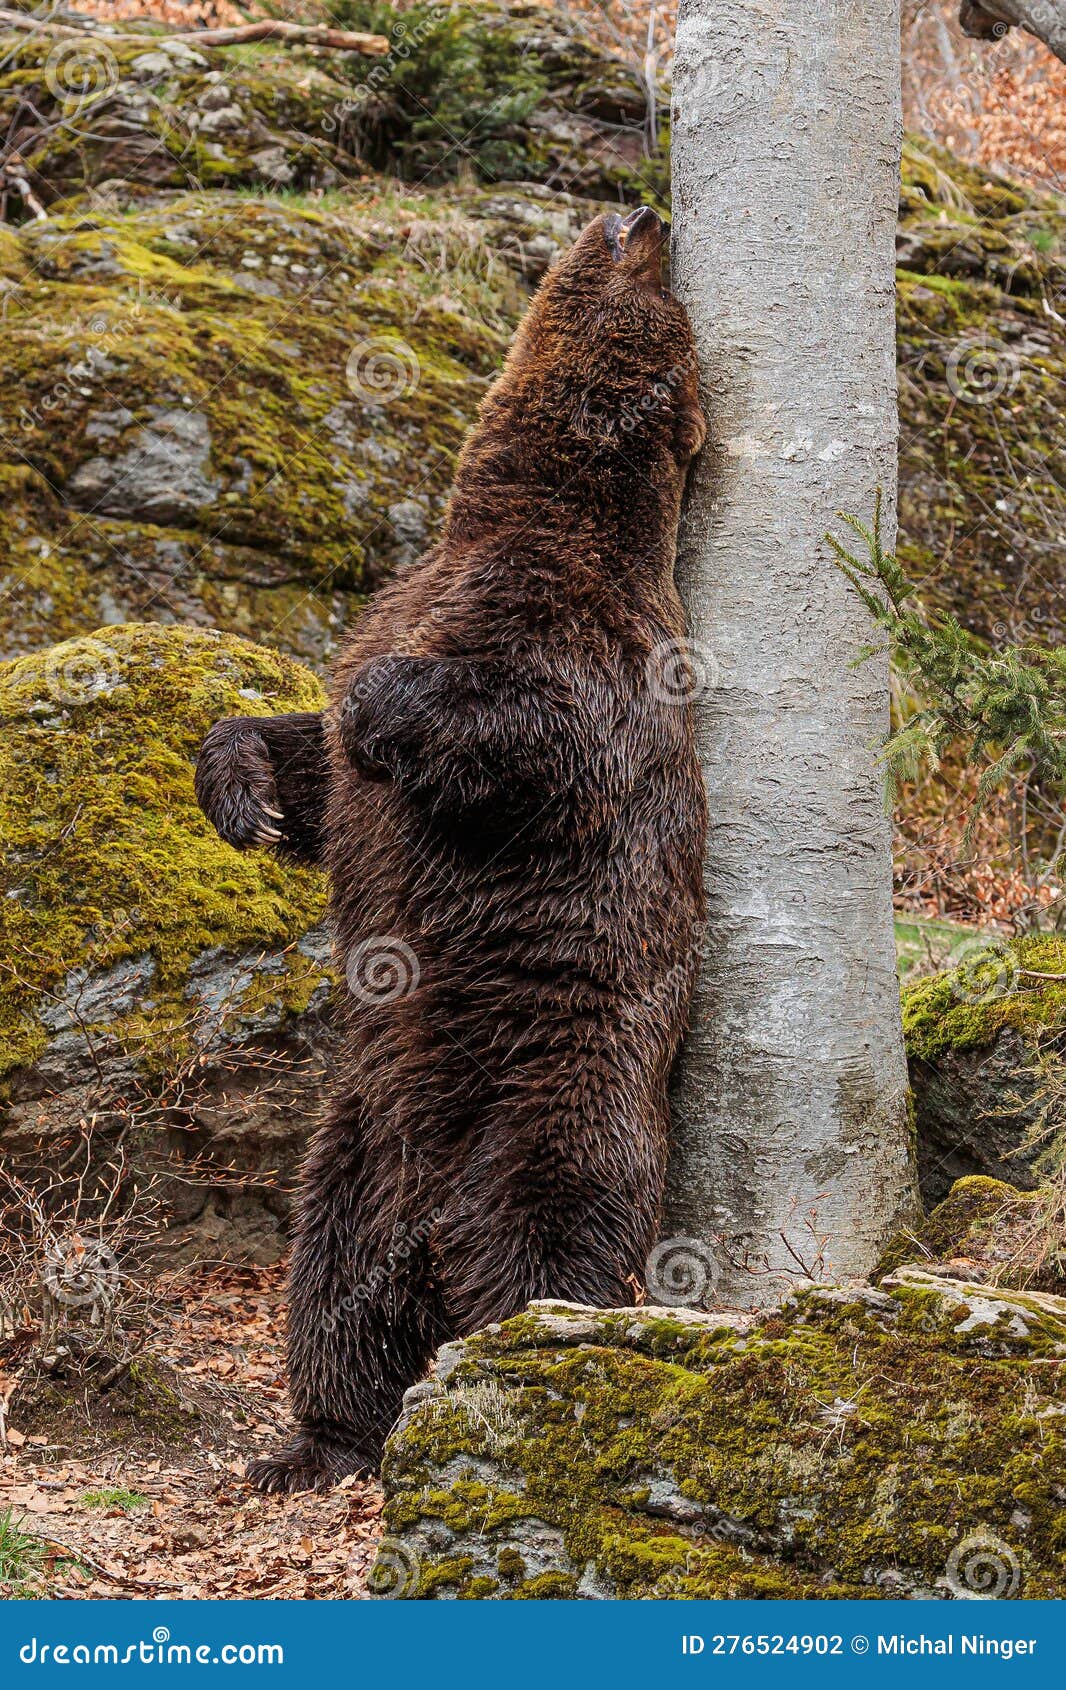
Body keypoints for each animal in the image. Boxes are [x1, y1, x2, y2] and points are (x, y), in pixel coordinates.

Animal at [194, 204, 708, 1494]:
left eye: (662, 313)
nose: (639, 213)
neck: (501, 515)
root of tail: (428, 1231)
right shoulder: (400, 599)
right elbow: (315, 760)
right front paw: (244, 794)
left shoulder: (591, 648)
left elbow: (531, 734)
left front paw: (387, 705)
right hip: (353, 1143)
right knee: (328, 1294)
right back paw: (314, 1442)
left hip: (556, 1097)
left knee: (550, 1244)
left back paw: (517, 1370)